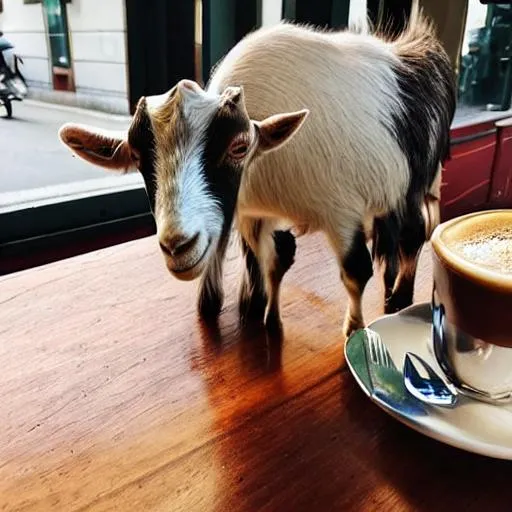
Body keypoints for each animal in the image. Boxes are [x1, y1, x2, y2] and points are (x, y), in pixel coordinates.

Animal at [58, 6, 454, 340]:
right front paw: (254, 308)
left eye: (238, 147)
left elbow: (355, 272)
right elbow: (259, 258)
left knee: (414, 232)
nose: (177, 246)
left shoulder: (341, 212)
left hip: (420, 180)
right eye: (138, 153)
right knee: (391, 232)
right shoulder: (251, 212)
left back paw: (399, 297)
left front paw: (354, 331)